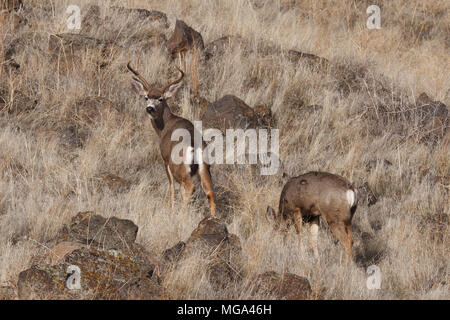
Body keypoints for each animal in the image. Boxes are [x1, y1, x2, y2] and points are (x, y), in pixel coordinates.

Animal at [126, 61, 216, 216]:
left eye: (160, 98)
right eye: (146, 97)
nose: (149, 108)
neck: (165, 126)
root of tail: (194, 144)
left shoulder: (165, 159)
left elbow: (171, 186)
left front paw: (171, 208)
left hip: (178, 166)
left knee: (190, 187)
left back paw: (183, 214)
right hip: (204, 166)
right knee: (209, 190)